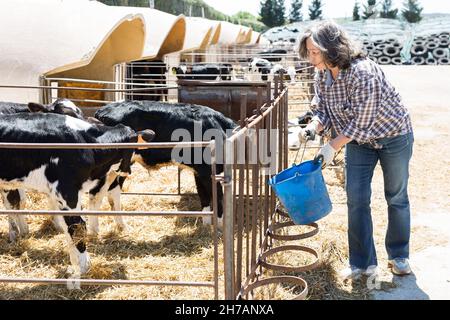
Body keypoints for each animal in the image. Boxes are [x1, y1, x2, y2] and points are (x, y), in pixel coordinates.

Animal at [0, 113, 154, 284]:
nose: (128, 171)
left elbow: (69, 228)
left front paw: (76, 264)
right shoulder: (66, 191)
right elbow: (77, 226)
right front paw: (83, 267)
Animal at [93, 101, 237, 226]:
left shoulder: (199, 172)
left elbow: (204, 198)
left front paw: (206, 226)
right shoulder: (208, 172)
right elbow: (218, 198)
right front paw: (219, 228)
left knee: (112, 191)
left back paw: (121, 226)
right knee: (98, 193)